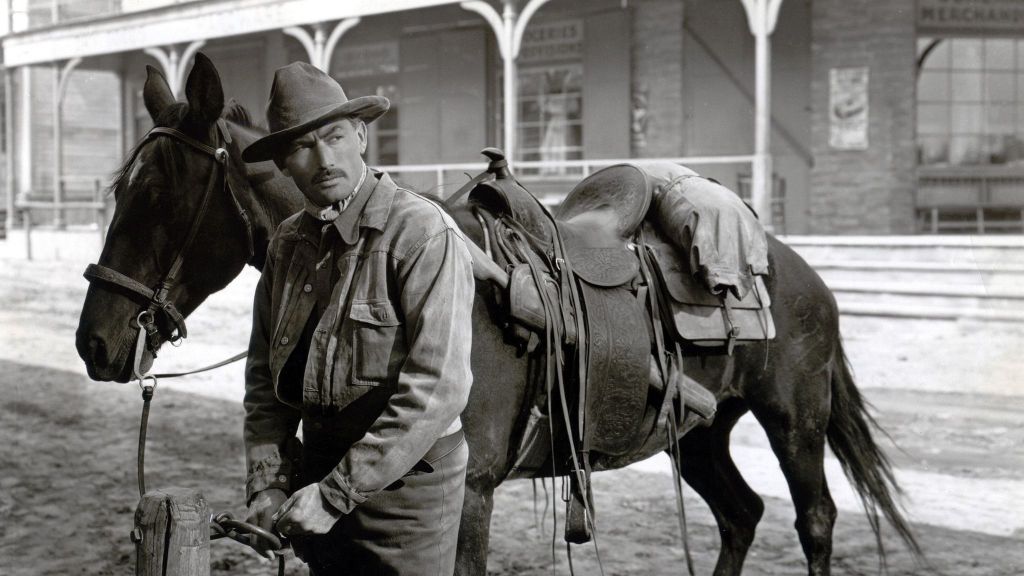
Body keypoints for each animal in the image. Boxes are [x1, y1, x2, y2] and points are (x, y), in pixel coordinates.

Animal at [74, 53, 921, 573]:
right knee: (742, 515)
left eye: (160, 195)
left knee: (815, 521)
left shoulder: (470, 493)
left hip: (793, 421)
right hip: (701, 431)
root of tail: (798, 270)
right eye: (118, 189)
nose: (95, 344)